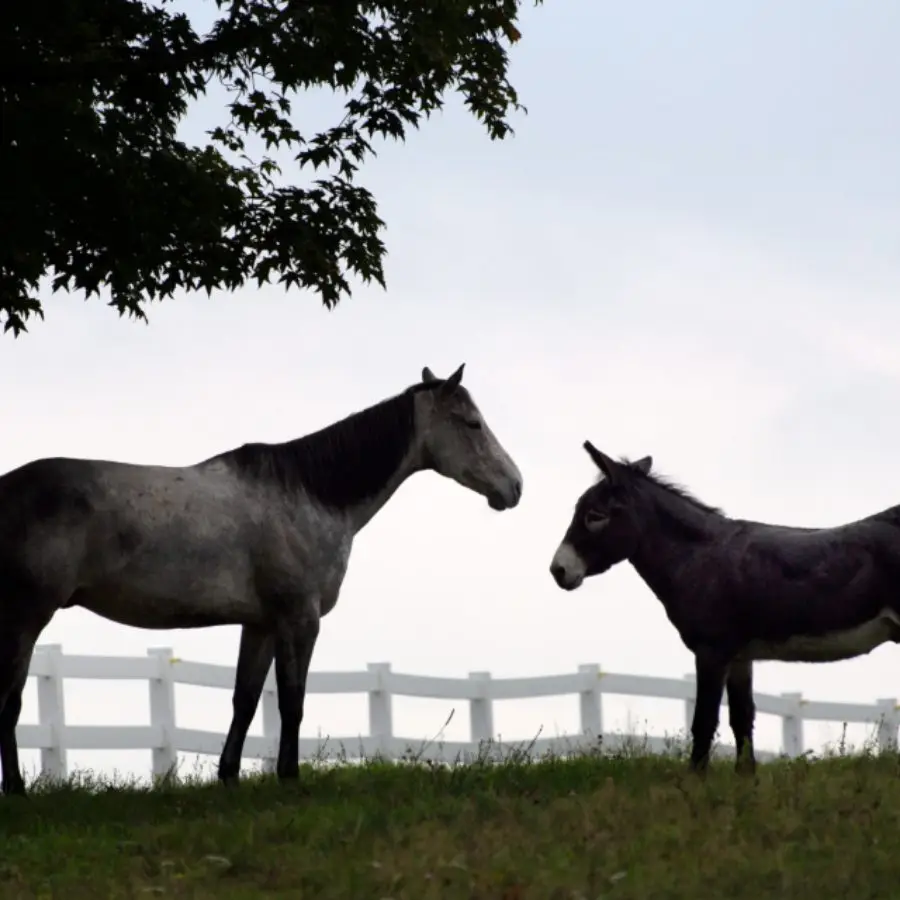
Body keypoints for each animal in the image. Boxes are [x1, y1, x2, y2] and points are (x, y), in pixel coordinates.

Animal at [0, 363, 523, 796]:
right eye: (471, 423)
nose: (514, 486)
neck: (311, 493)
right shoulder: (300, 619)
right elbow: (292, 701)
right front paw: (288, 776)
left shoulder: (261, 624)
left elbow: (246, 700)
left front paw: (229, 776)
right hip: (25, 618)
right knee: (9, 700)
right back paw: (18, 792)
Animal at [549, 440, 900, 773]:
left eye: (594, 516)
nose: (557, 570)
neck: (698, 557)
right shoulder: (740, 655)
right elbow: (741, 720)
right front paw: (745, 783)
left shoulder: (711, 650)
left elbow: (704, 721)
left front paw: (694, 783)